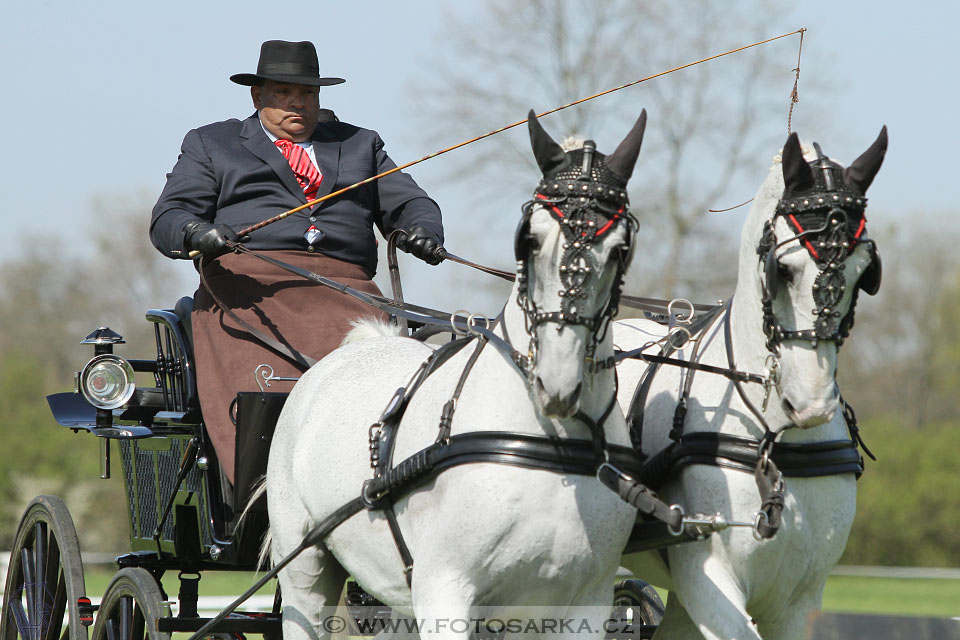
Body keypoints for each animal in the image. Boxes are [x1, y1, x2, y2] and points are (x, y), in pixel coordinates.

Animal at [266, 110, 648, 640]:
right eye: (529, 240)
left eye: (620, 249)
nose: (557, 382)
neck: (546, 444)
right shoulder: (445, 593)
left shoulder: (584, 606)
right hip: (304, 565)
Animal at [616, 130, 884, 640]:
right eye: (784, 269)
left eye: (865, 272)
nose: (810, 403)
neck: (775, 440)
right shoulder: (709, 581)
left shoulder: (798, 602)